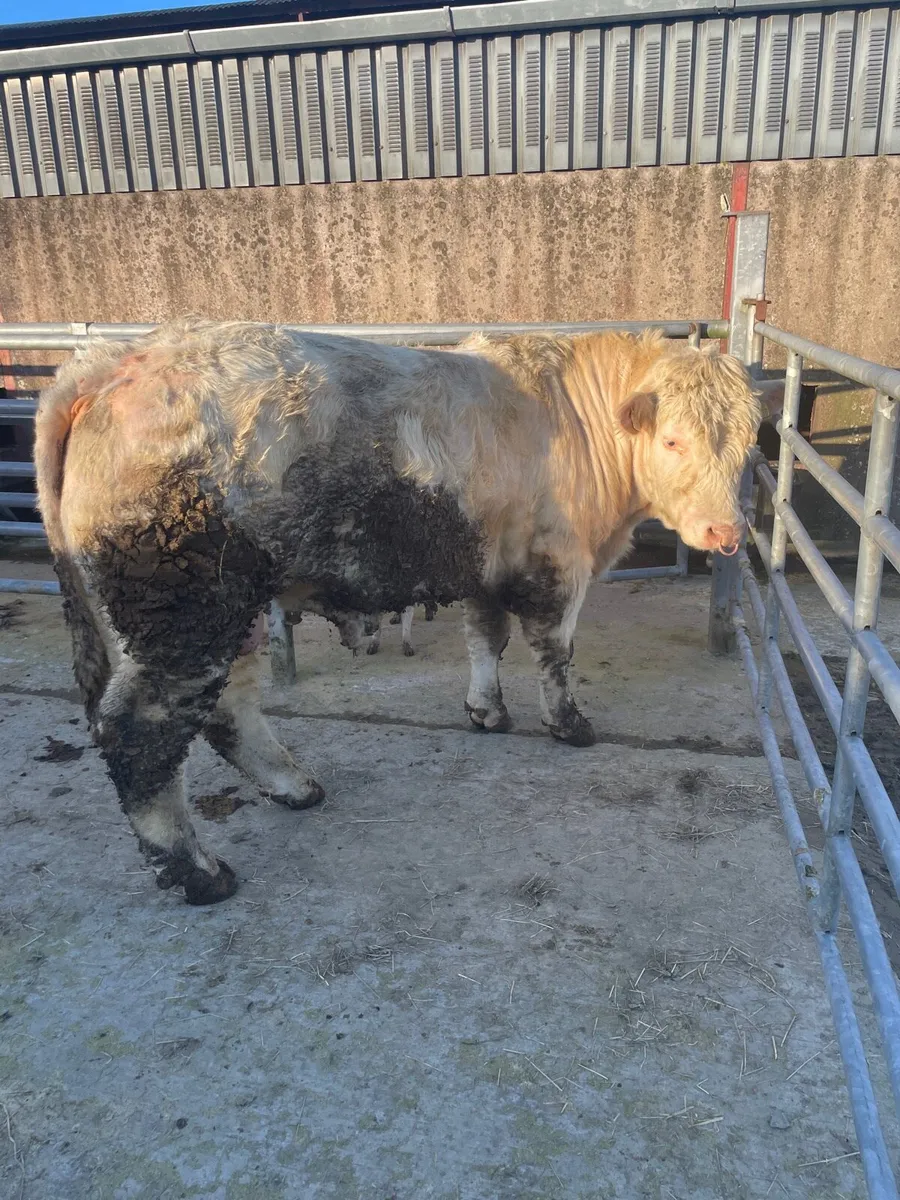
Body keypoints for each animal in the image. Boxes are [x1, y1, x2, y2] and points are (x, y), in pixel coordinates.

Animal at [35, 320, 760, 905]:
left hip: (221, 609)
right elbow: (554, 652)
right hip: (182, 611)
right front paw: (568, 725)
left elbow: (485, 639)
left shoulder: (488, 563)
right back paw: (199, 872)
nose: (727, 533)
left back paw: (293, 786)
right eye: (673, 441)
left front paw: (486, 711)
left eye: (747, 446)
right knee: (140, 732)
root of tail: (116, 362)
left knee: (228, 707)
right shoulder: (557, 564)